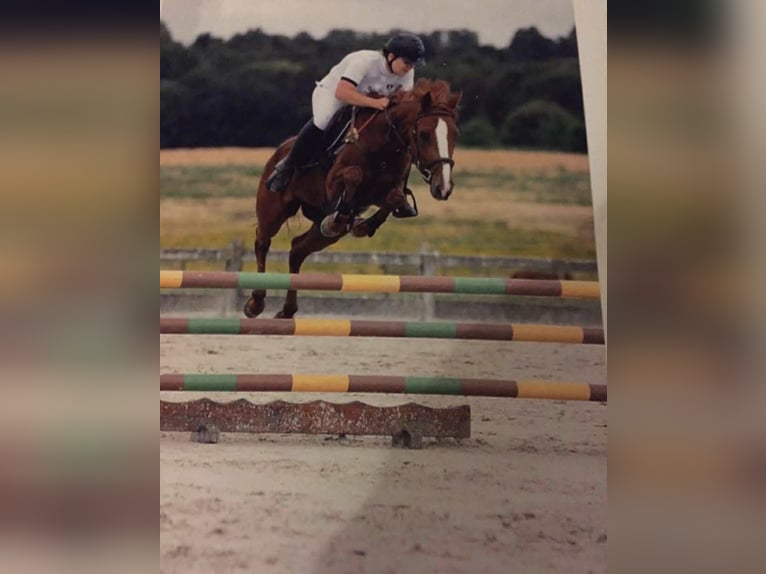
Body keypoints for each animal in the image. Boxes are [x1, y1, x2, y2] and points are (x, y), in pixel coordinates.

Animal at [244, 78, 461, 319]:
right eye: (423, 133)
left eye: (455, 134)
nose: (443, 188)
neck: (386, 143)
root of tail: (279, 150)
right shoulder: (333, 184)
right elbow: (353, 174)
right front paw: (349, 217)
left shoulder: (385, 191)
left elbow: (394, 198)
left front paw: (362, 225)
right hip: (273, 210)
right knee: (262, 241)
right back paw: (256, 302)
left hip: (323, 232)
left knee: (298, 249)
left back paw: (287, 311)